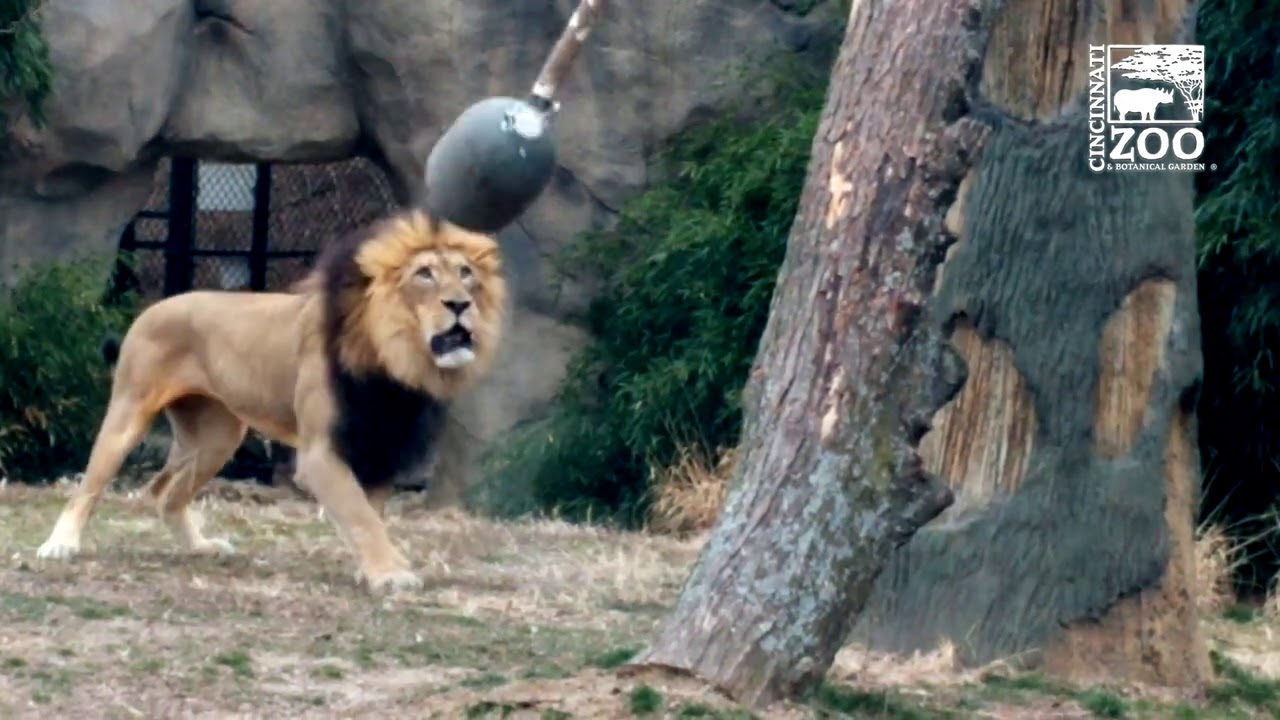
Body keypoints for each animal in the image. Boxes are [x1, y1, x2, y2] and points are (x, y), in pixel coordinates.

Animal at [35, 208, 507, 592]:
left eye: (466, 272)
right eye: (424, 274)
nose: (461, 304)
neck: (394, 359)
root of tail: (151, 308)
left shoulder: (377, 446)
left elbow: (370, 515)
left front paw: (371, 570)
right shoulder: (320, 454)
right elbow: (360, 516)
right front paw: (391, 575)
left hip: (217, 437)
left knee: (165, 491)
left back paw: (200, 547)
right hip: (129, 414)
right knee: (88, 487)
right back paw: (60, 545)